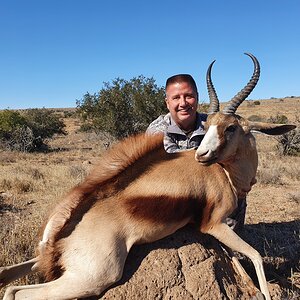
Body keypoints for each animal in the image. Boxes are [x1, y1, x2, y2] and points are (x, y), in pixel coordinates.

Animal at [0, 52, 296, 298]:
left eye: (230, 127)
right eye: (209, 125)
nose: (202, 155)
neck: (224, 172)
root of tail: (61, 229)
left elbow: (239, 259)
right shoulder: (214, 225)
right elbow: (255, 256)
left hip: (46, 262)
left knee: (9, 279)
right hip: (89, 279)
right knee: (19, 292)